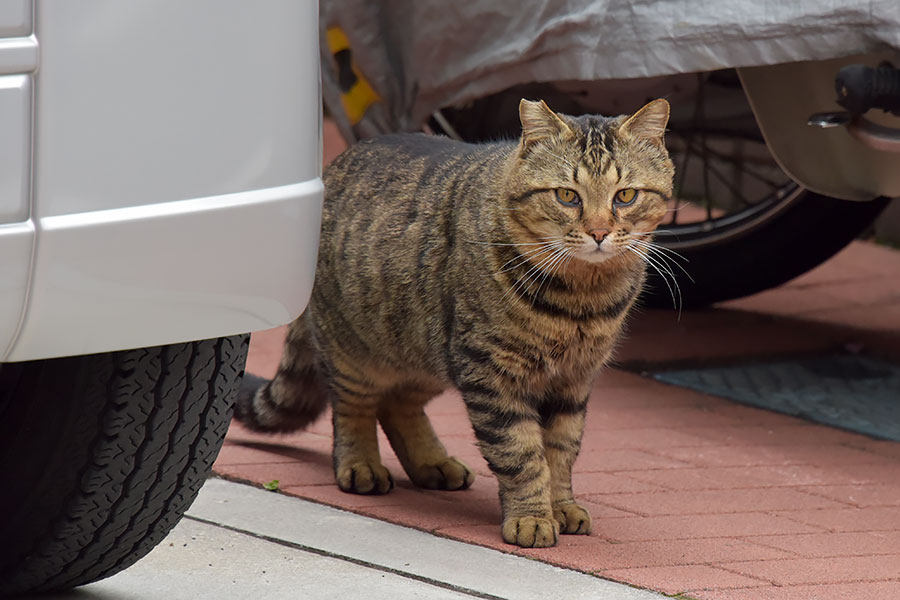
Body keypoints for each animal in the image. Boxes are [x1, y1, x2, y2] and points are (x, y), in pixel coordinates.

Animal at [236, 98, 672, 548]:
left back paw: (433, 463)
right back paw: (361, 465)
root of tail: (336, 163)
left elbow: (562, 451)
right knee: (354, 408)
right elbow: (521, 453)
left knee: (397, 404)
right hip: (357, 352)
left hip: (427, 351)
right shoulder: (491, 372)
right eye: (567, 195)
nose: (599, 232)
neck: (582, 297)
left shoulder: (574, 381)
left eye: (626, 196)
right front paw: (532, 517)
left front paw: (561, 506)